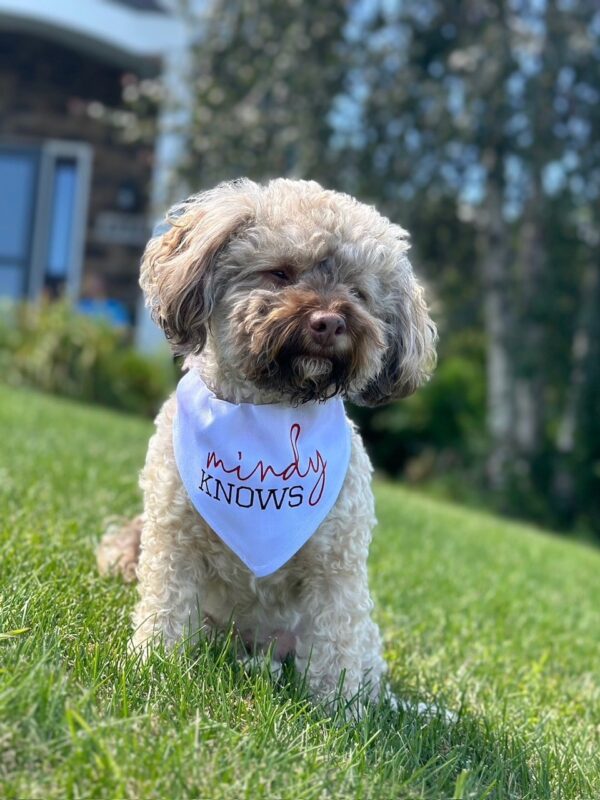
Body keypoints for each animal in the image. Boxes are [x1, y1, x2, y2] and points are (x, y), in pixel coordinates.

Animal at [97, 180, 436, 708]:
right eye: (280, 273)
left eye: (358, 292)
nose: (329, 322)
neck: (267, 416)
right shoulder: (173, 541)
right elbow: (166, 609)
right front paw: (152, 664)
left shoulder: (336, 568)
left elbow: (337, 640)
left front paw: (339, 710)